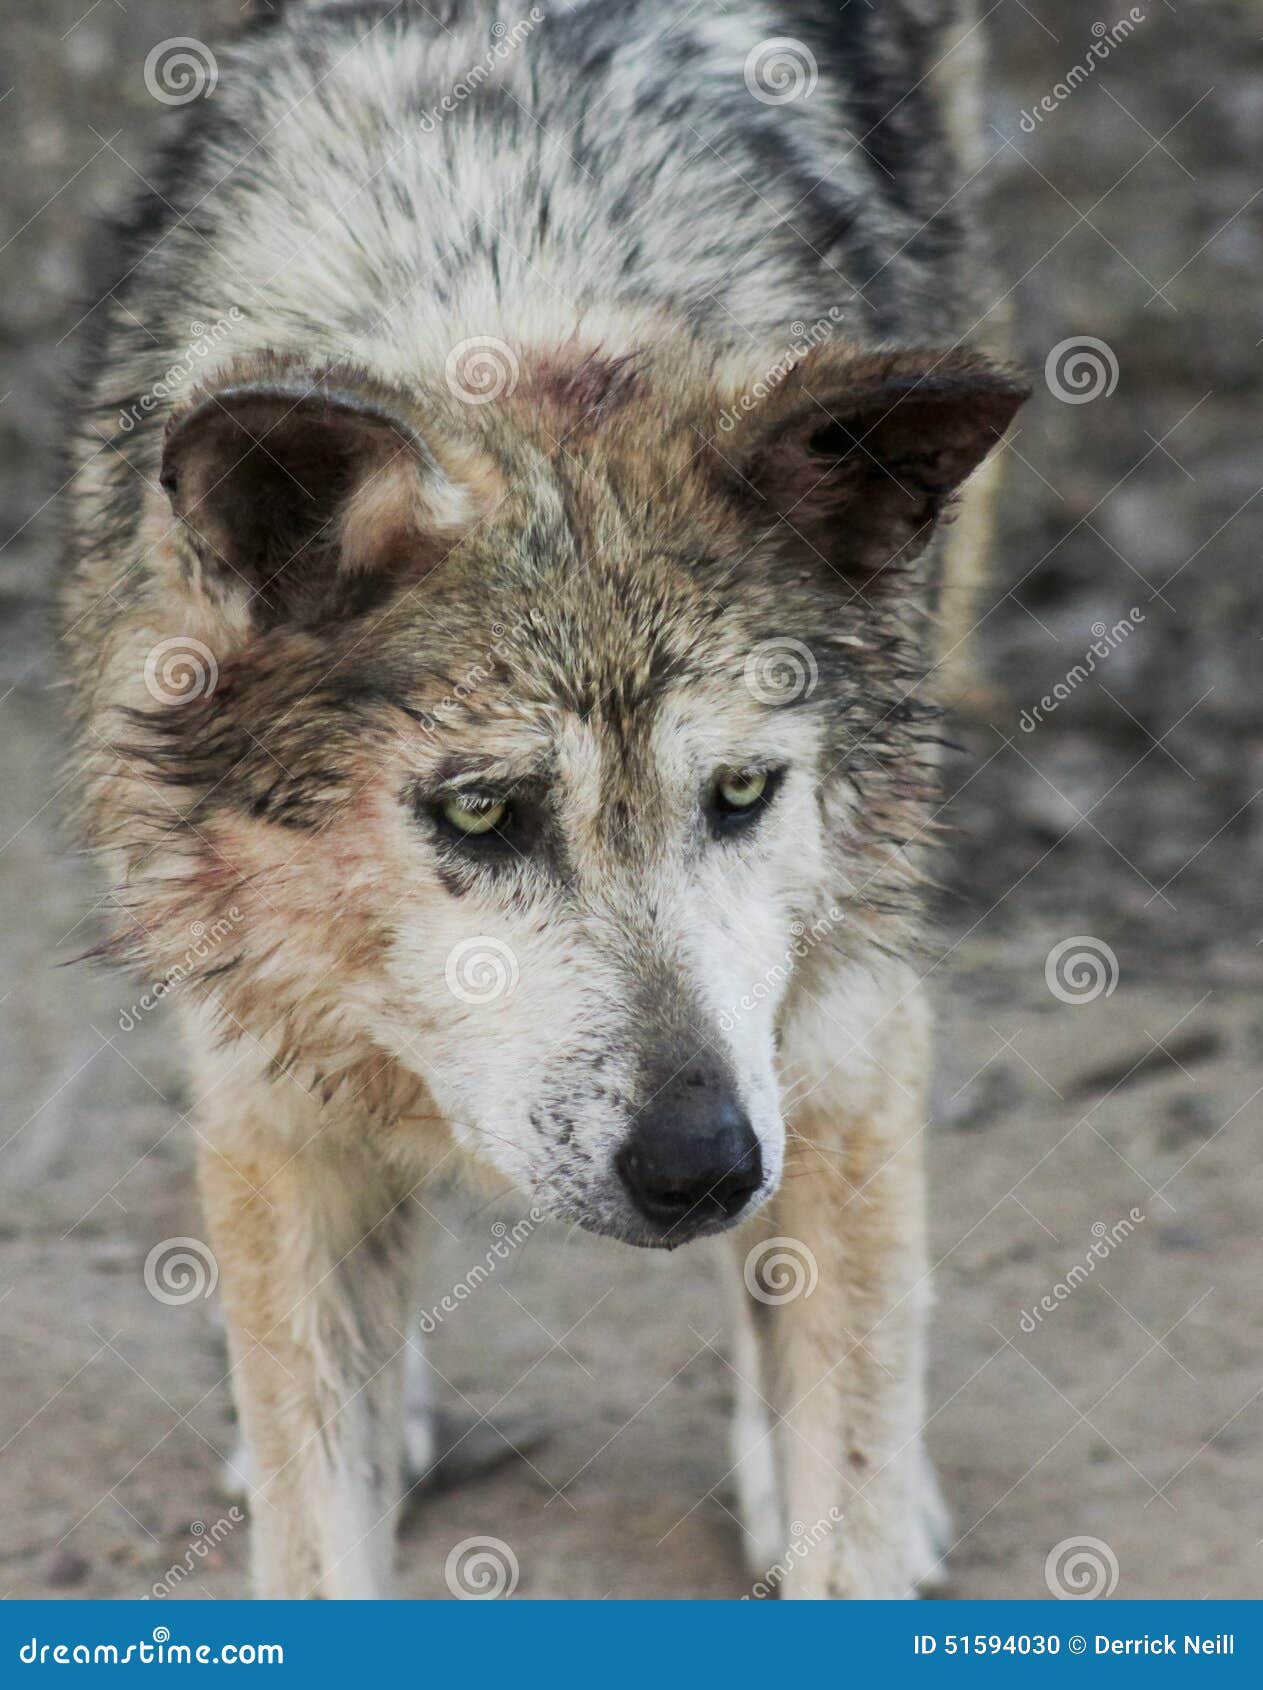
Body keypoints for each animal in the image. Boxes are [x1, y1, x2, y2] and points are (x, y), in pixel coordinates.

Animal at [61, 0, 1026, 1598]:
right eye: (476, 815)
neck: (518, 297)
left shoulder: (837, 1034)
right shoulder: (264, 1086)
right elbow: (315, 1528)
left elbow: (847, 1455)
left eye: (743, 790)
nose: (700, 1167)